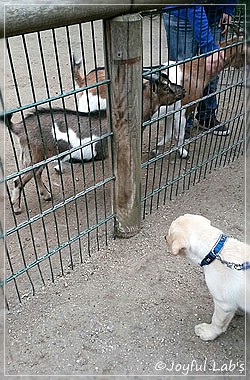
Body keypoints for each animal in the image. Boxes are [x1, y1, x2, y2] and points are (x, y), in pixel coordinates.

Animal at [165, 214, 249, 342]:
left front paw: (208, 332)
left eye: (169, 233)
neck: (215, 251)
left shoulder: (223, 304)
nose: (164, 237)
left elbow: (217, 322)